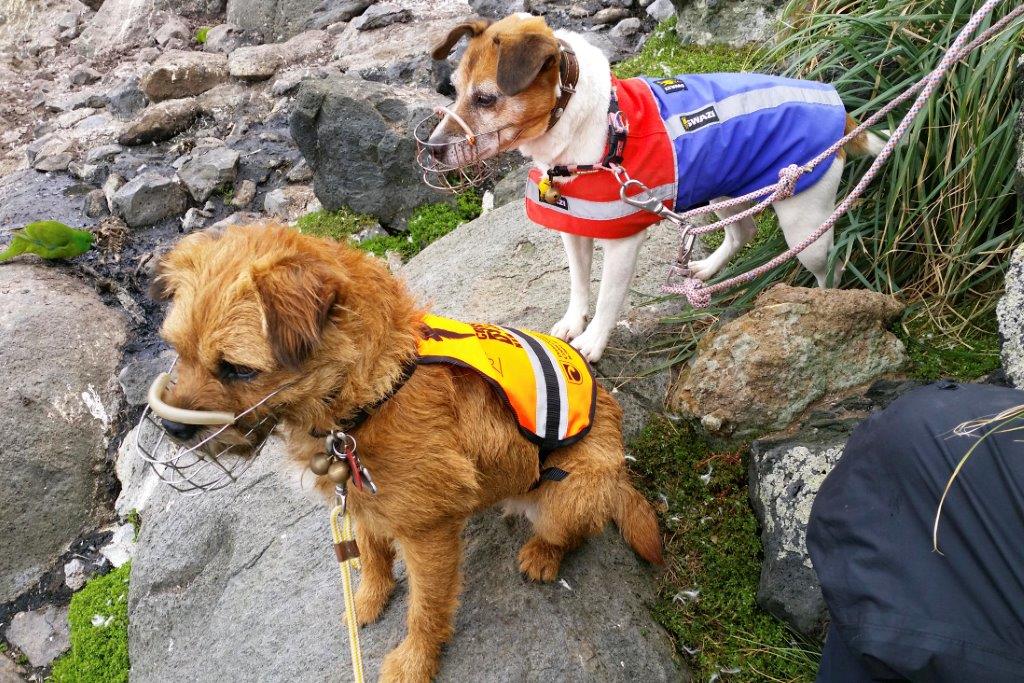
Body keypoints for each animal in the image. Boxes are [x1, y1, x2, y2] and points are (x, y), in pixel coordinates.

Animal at [151, 223, 663, 679]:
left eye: (237, 369)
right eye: (177, 349)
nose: (173, 428)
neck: (373, 390)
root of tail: (619, 463)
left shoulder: (427, 533)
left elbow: (426, 608)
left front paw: (415, 663)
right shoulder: (361, 500)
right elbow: (372, 556)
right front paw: (366, 601)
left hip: (568, 496)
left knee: (572, 531)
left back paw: (542, 554)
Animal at [428, 13, 884, 362]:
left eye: (486, 98)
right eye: (454, 90)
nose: (432, 149)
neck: (595, 129)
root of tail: (842, 113)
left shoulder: (622, 243)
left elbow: (608, 298)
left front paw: (593, 342)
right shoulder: (574, 230)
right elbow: (578, 285)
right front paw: (574, 322)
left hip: (807, 228)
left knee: (831, 266)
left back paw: (826, 307)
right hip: (724, 188)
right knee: (743, 231)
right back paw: (706, 270)